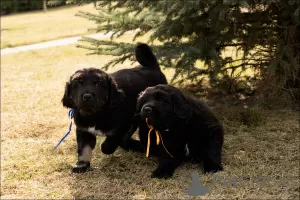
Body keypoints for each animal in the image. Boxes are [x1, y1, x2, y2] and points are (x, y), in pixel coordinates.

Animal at [62, 43, 168, 173]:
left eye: (98, 84)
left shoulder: (122, 124)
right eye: (78, 84)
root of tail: (152, 68)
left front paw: (106, 147)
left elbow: (107, 145)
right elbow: (83, 149)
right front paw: (81, 165)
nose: (87, 96)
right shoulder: (83, 130)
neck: (95, 114)